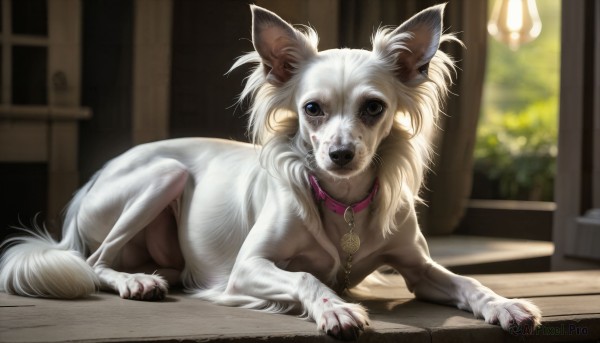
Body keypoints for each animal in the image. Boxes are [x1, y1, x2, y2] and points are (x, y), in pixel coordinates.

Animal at [0, 4, 540, 342]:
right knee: (94, 262)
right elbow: (306, 277)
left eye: (373, 108)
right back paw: (134, 281)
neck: (342, 198)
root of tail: (89, 183)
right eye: (312, 109)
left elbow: (466, 282)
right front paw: (335, 306)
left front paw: (503, 304)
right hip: (164, 174)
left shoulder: (419, 269)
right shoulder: (248, 267)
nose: (340, 154)